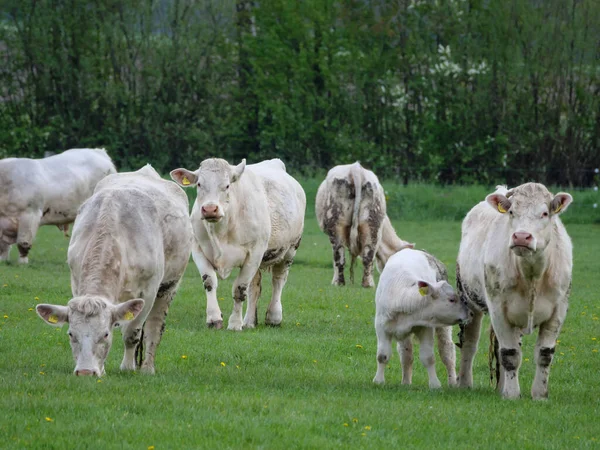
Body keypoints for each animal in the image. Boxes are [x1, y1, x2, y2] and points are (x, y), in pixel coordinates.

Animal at [36, 165, 191, 376]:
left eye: (105, 334)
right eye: (71, 334)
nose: (85, 372)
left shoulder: (149, 291)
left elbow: (132, 333)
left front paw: (127, 367)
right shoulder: (76, 283)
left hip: (169, 286)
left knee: (154, 327)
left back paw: (147, 367)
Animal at [171, 158, 308, 330]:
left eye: (227, 185)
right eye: (199, 184)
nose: (210, 209)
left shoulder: (255, 252)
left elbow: (239, 288)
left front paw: (235, 324)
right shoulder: (197, 249)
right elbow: (210, 282)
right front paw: (214, 319)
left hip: (290, 248)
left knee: (278, 280)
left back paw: (273, 317)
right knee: (255, 287)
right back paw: (249, 321)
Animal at [458, 183, 576, 400]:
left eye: (545, 213)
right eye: (512, 212)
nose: (521, 236)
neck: (532, 274)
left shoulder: (558, 311)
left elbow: (545, 354)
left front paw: (540, 395)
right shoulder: (498, 310)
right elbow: (510, 354)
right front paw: (512, 395)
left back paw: (500, 388)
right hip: (468, 299)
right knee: (470, 344)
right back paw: (464, 383)